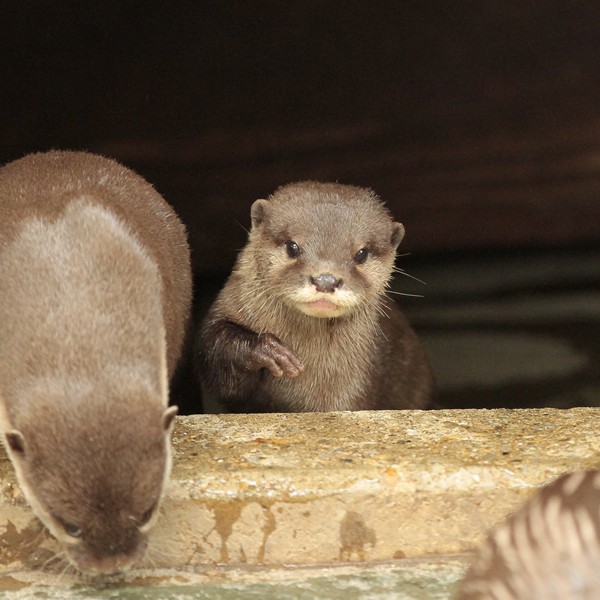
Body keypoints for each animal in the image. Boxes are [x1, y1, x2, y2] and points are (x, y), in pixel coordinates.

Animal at [199, 180, 434, 412]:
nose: (325, 280)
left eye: (361, 254)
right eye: (292, 247)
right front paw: (269, 351)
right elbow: (217, 352)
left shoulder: (352, 388)